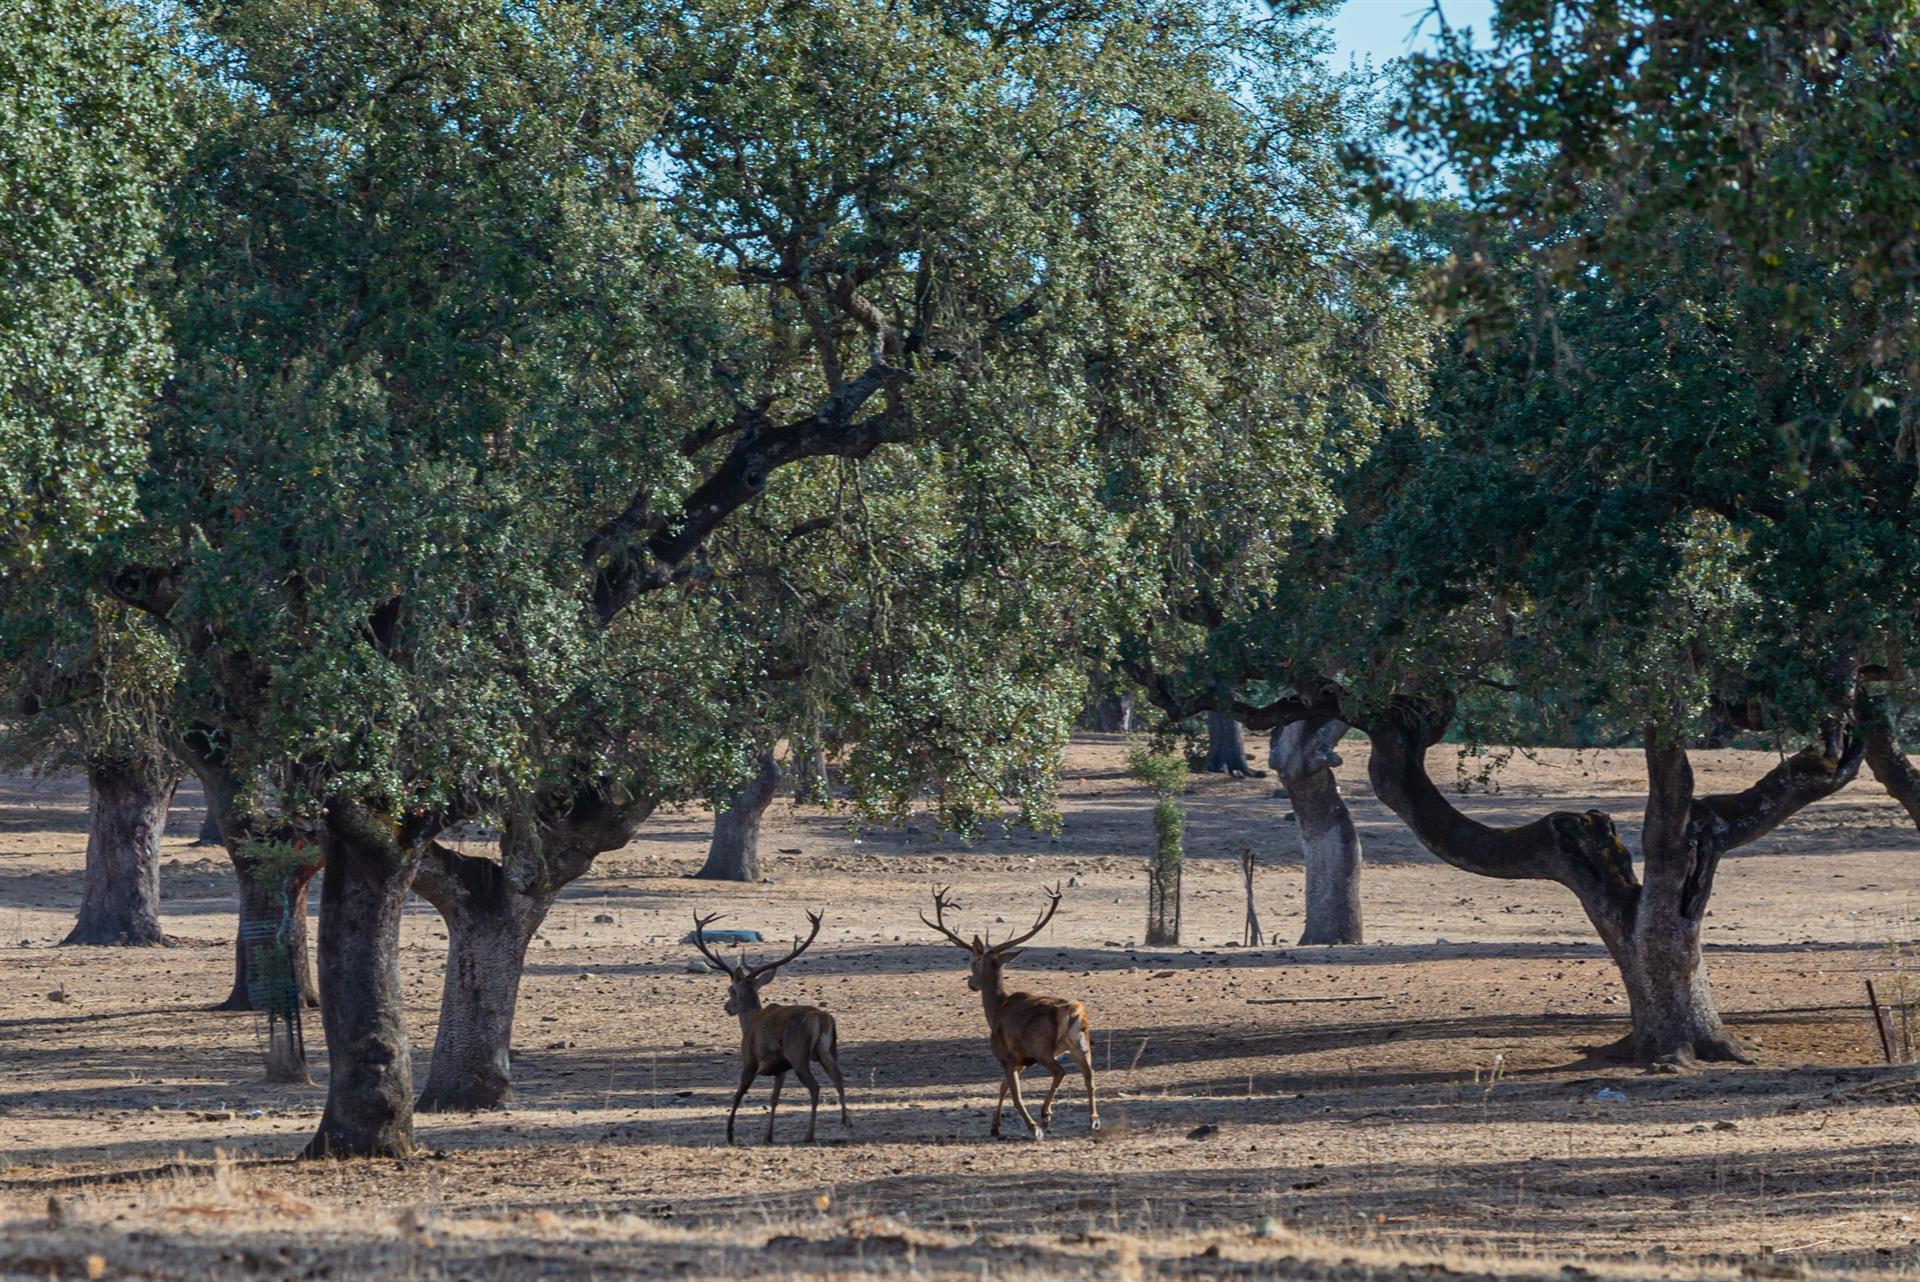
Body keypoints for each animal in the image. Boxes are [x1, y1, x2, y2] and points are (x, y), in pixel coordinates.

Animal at [687, 905, 844, 1143]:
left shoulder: (750, 1058)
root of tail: (822, 1019)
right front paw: (768, 1135)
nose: (727, 1007)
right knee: (839, 1079)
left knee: (815, 1086)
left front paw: (730, 1133)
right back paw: (848, 1125)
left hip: (798, 1052)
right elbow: (774, 1098)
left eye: (730, 990)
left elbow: (739, 1093)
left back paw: (809, 1135)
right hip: (827, 1050)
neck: (750, 1022)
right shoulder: (780, 1067)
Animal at [921, 882, 1105, 1143]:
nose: (971, 983)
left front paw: (1030, 1127)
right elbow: (1003, 1087)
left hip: (1042, 1047)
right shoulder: (1019, 1061)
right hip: (1081, 1043)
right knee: (1090, 1076)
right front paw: (995, 1126)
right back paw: (1093, 1120)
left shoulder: (1006, 1054)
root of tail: (1072, 1011)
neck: (996, 1009)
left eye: (973, 963)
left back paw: (1045, 1116)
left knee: (1060, 1072)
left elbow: (1014, 1094)